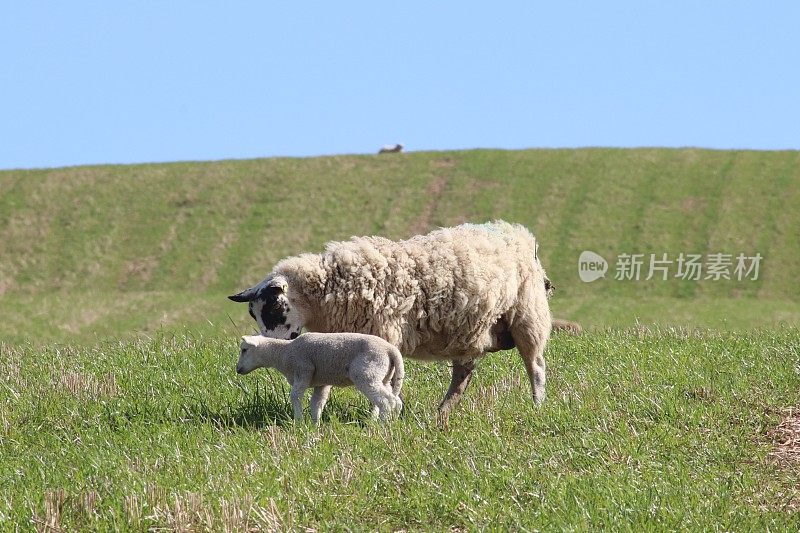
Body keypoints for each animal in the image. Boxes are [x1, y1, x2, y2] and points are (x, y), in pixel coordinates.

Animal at [234, 330, 404, 422]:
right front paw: (315, 424)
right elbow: (317, 403)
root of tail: (391, 350)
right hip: (383, 375)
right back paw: (389, 422)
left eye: (244, 350)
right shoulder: (321, 382)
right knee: (395, 400)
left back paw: (381, 425)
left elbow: (295, 396)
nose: (237, 369)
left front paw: (299, 421)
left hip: (366, 372)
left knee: (386, 401)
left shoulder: (303, 369)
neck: (283, 353)